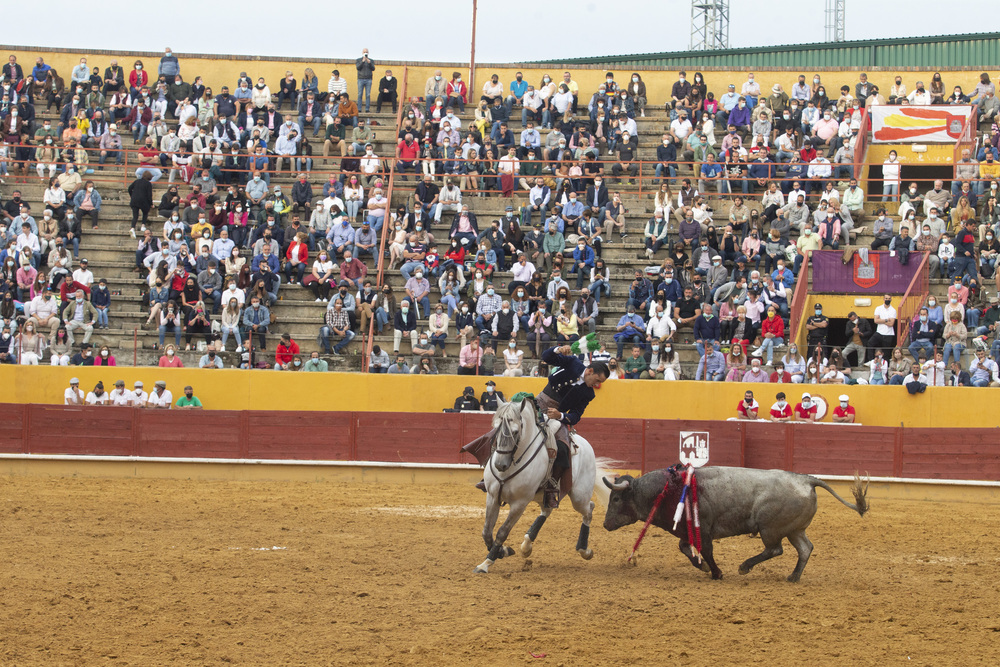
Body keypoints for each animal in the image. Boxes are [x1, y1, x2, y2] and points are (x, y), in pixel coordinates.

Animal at [600, 468, 868, 580]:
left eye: (616, 499)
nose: (605, 525)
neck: (669, 489)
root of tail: (806, 480)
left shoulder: (703, 530)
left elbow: (706, 551)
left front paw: (716, 573)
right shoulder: (688, 531)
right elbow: (685, 548)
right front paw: (703, 567)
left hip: (770, 529)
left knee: (775, 549)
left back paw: (745, 567)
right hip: (794, 529)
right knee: (805, 549)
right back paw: (793, 577)